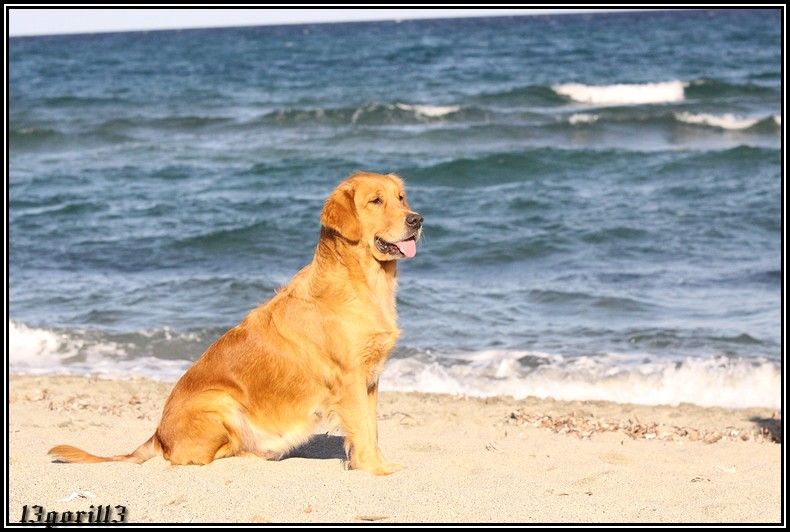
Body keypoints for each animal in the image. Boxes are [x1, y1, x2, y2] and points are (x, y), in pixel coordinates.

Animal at [48, 172, 420, 476]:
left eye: (401, 197)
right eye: (376, 201)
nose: (417, 219)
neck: (363, 283)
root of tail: (157, 436)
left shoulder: (370, 380)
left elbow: (373, 429)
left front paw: (378, 464)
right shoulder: (351, 379)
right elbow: (364, 431)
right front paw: (375, 471)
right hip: (221, 403)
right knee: (202, 457)